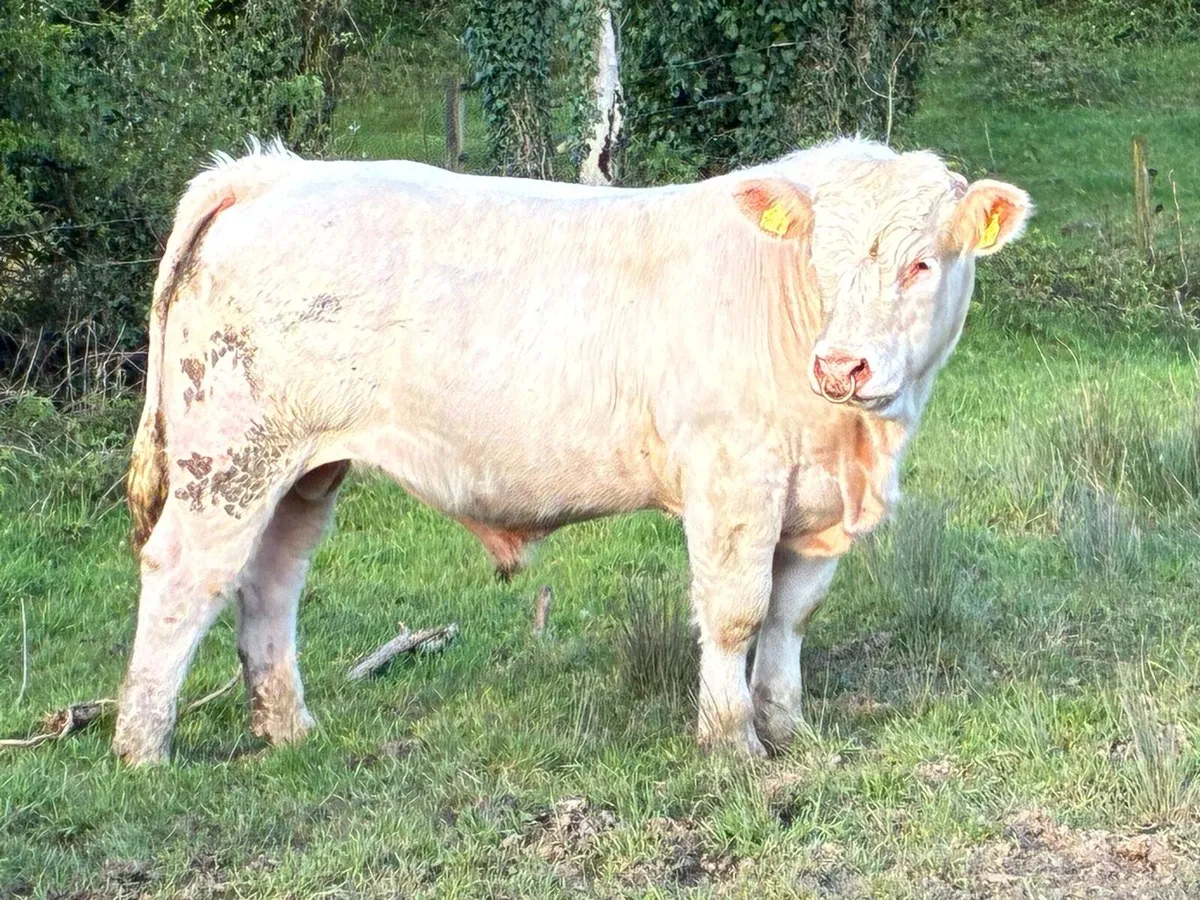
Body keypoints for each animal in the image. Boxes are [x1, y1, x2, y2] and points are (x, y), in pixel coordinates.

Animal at [112, 137, 1030, 765]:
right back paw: (142, 748)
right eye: (821, 260)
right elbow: (736, 612)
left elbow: (790, 616)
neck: (854, 444)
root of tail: (271, 173)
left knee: (270, 581)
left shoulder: (814, 503)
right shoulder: (733, 479)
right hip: (229, 453)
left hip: (305, 467)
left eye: (921, 264)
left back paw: (291, 730)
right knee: (186, 575)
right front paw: (732, 744)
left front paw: (788, 728)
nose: (841, 366)